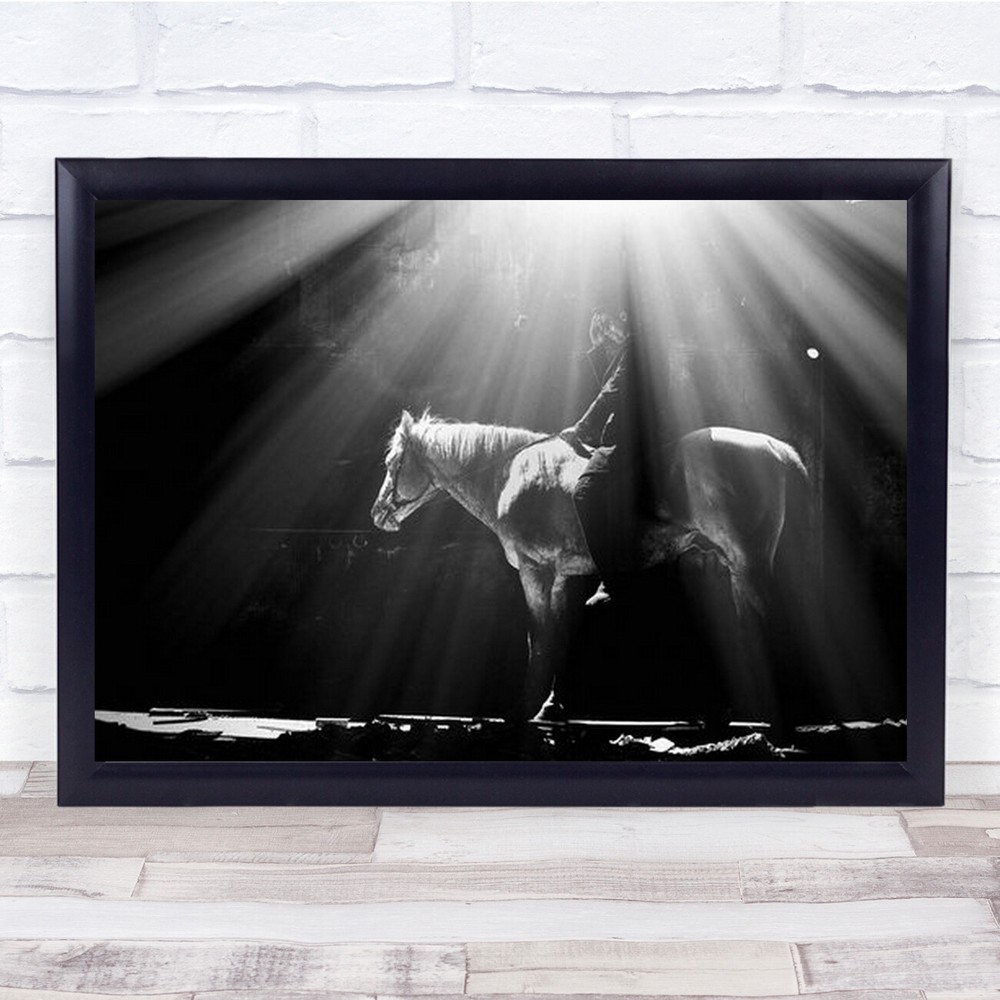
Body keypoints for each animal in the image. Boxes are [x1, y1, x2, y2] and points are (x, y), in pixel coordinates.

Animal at [371, 409, 807, 721]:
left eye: (393, 462)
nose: (378, 514)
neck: (510, 476)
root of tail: (774, 448)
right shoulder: (561, 576)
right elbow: (560, 633)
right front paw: (552, 706)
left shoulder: (535, 570)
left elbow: (539, 635)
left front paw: (523, 709)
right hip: (734, 564)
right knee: (749, 623)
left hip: (748, 560)